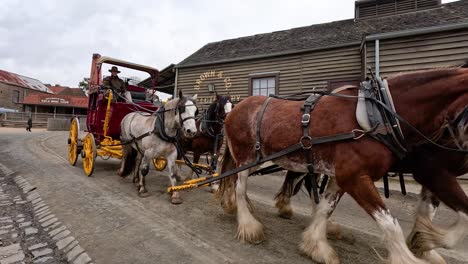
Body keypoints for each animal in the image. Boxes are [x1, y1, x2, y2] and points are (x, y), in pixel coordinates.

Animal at [216, 64, 468, 264]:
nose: (463, 155)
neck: (380, 115)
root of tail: (235, 110)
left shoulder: (341, 177)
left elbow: (325, 208)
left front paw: (316, 245)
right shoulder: (357, 177)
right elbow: (390, 224)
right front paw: (415, 251)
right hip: (246, 157)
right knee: (239, 187)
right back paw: (248, 225)